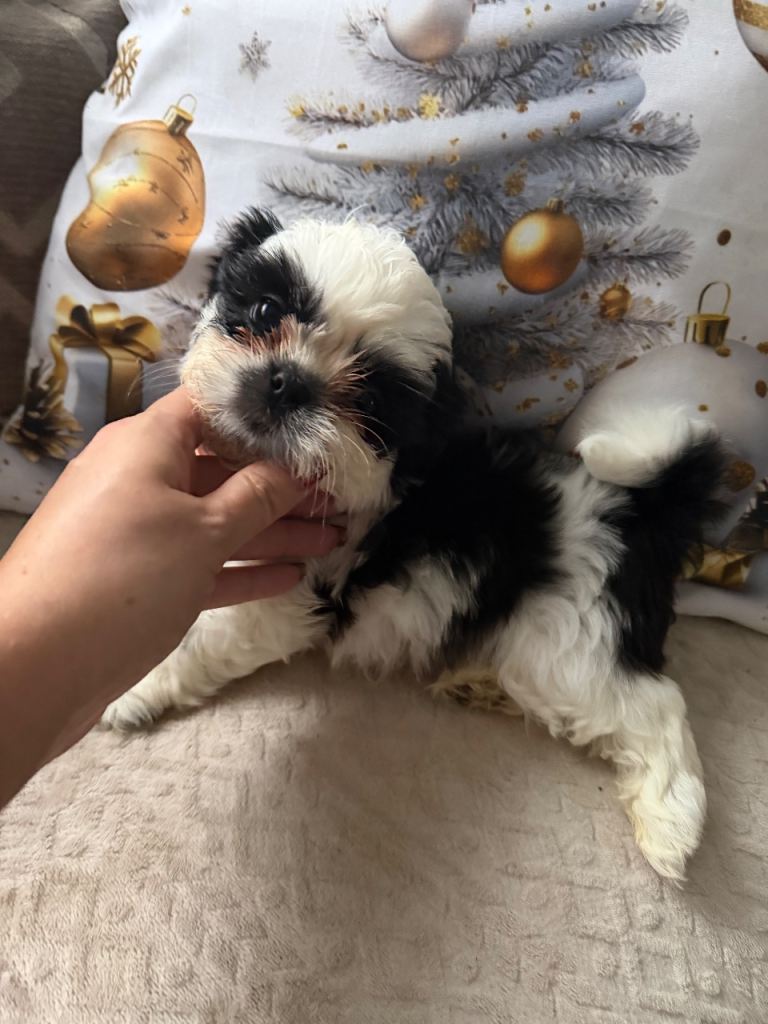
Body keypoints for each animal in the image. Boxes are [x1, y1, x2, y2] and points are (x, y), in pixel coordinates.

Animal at [103, 210, 726, 880]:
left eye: (370, 402)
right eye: (266, 308)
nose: (288, 382)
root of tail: (642, 506)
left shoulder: (283, 598)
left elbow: (198, 640)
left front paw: (133, 688)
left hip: (576, 638)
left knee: (654, 706)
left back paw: (670, 827)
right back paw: (477, 683)